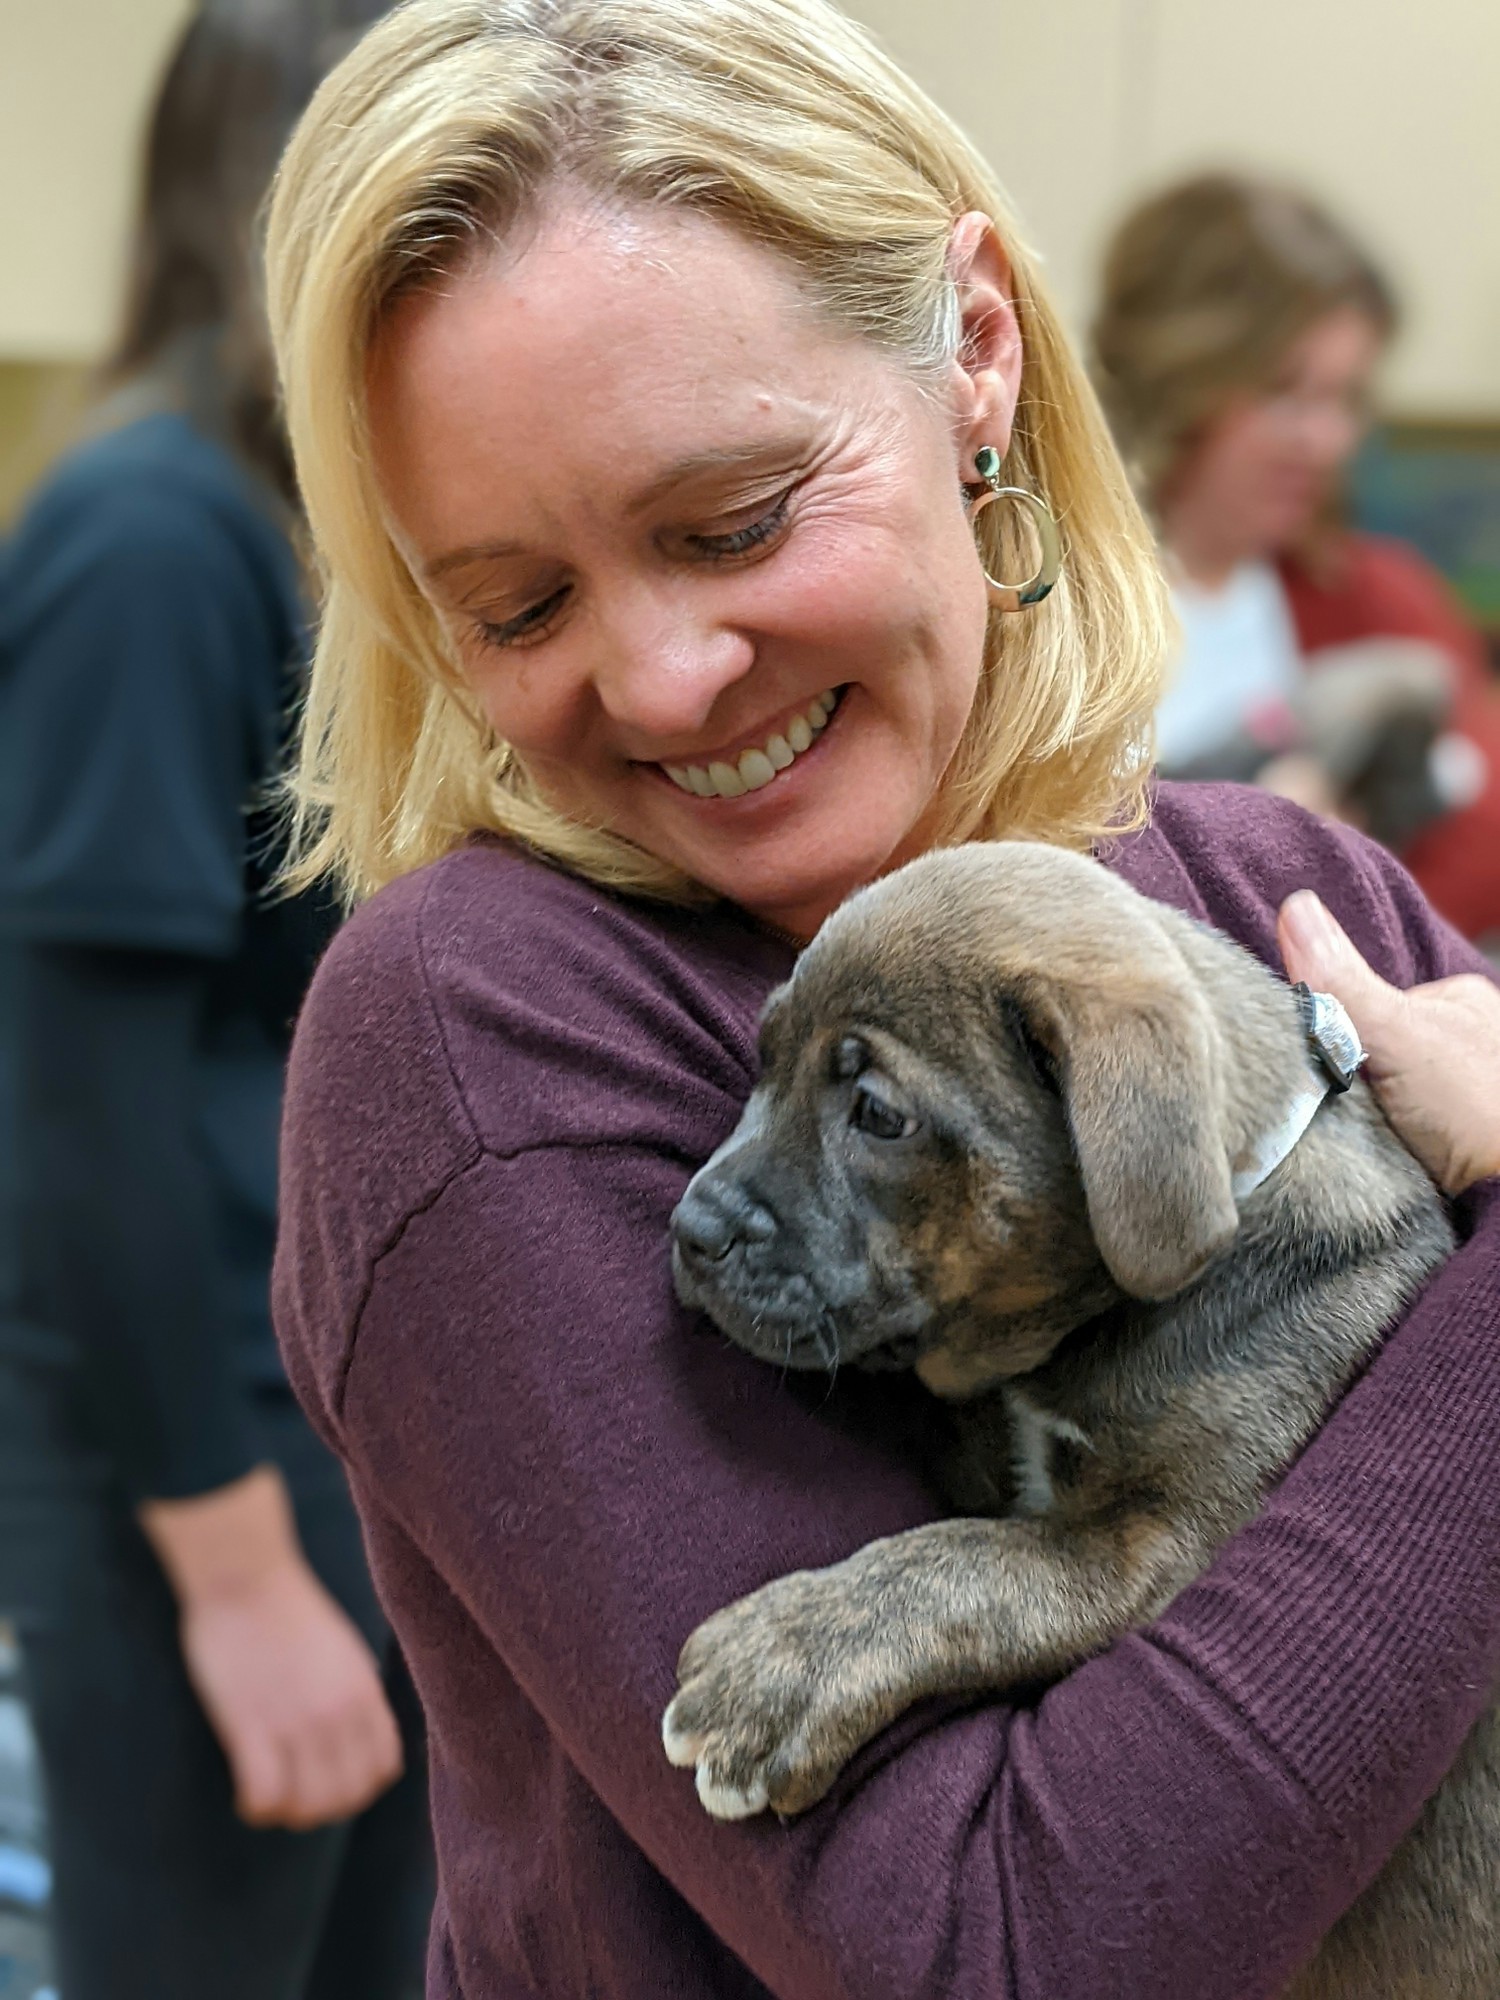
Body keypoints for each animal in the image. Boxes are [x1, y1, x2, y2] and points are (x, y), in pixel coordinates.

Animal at [668, 840, 1500, 2000]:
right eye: (761, 1059)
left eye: (876, 1113)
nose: (689, 1226)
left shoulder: (1155, 1545)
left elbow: (967, 1563)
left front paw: (781, 1662)